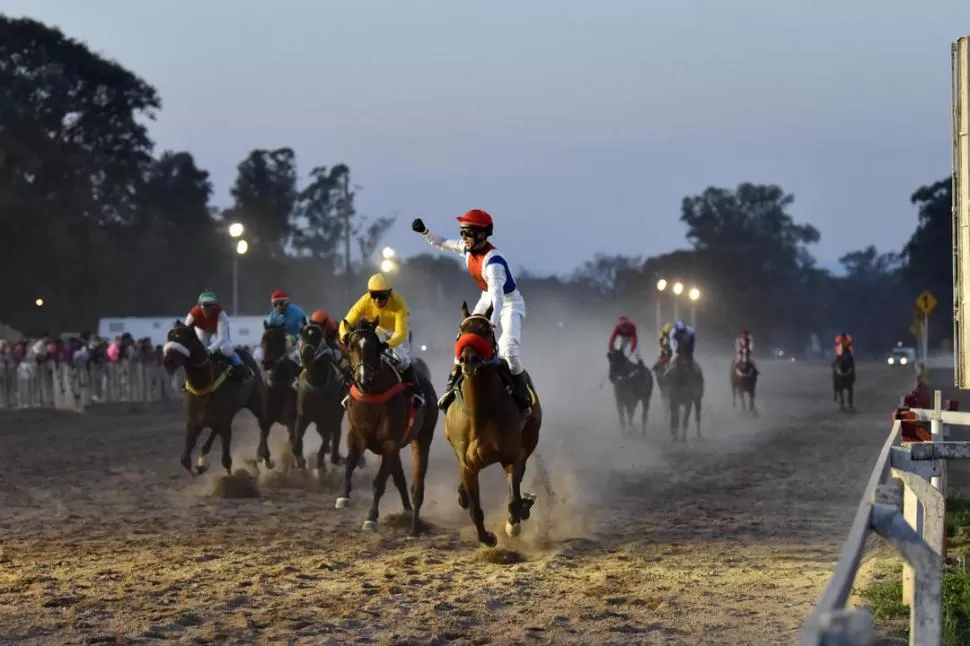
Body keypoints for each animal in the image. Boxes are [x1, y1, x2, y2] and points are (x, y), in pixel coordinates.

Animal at [161, 322, 264, 478]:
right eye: (170, 337)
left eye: (185, 340)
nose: (168, 362)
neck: (204, 388)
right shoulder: (194, 423)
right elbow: (185, 459)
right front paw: (200, 467)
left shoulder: (225, 424)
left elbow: (226, 461)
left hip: (256, 402)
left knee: (263, 423)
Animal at [255, 324, 300, 470]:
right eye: (263, 340)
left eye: (280, 340)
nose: (267, 363)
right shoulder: (266, 417)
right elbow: (263, 435)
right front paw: (265, 458)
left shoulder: (292, 418)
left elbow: (294, 439)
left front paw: (298, 461)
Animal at [294, 322, 350, 478]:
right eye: (303, 335)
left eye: (319, 337)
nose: (307, 355)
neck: (317, 384)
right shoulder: (303, 415)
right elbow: (297, 440)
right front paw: (299, 462)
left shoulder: (332, 416)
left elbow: (327, 441)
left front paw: (320, 465)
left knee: (334, 436)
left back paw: (336, 458)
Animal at [334, 316, 436, 540]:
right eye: (351, 346)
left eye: (374, 347)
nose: (363, 380)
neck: (371, 396)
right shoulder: (357, 435)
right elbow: (349, 464)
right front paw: (343, 497)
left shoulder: (390, 442)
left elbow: (379, 482)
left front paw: (371, 518)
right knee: (399, 478)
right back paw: (406, 512)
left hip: (422, 438)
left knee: (417, 483)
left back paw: (413, 527)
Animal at [442, 302, 540, 548]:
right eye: (461, 330)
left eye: (485, 331)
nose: (468, 358)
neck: (480, 412)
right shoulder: (468, 466)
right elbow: (475, 508)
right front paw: (487, 537)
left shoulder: (511, 457)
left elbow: (514, 498)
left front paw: (513, 524)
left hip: (530, 439)